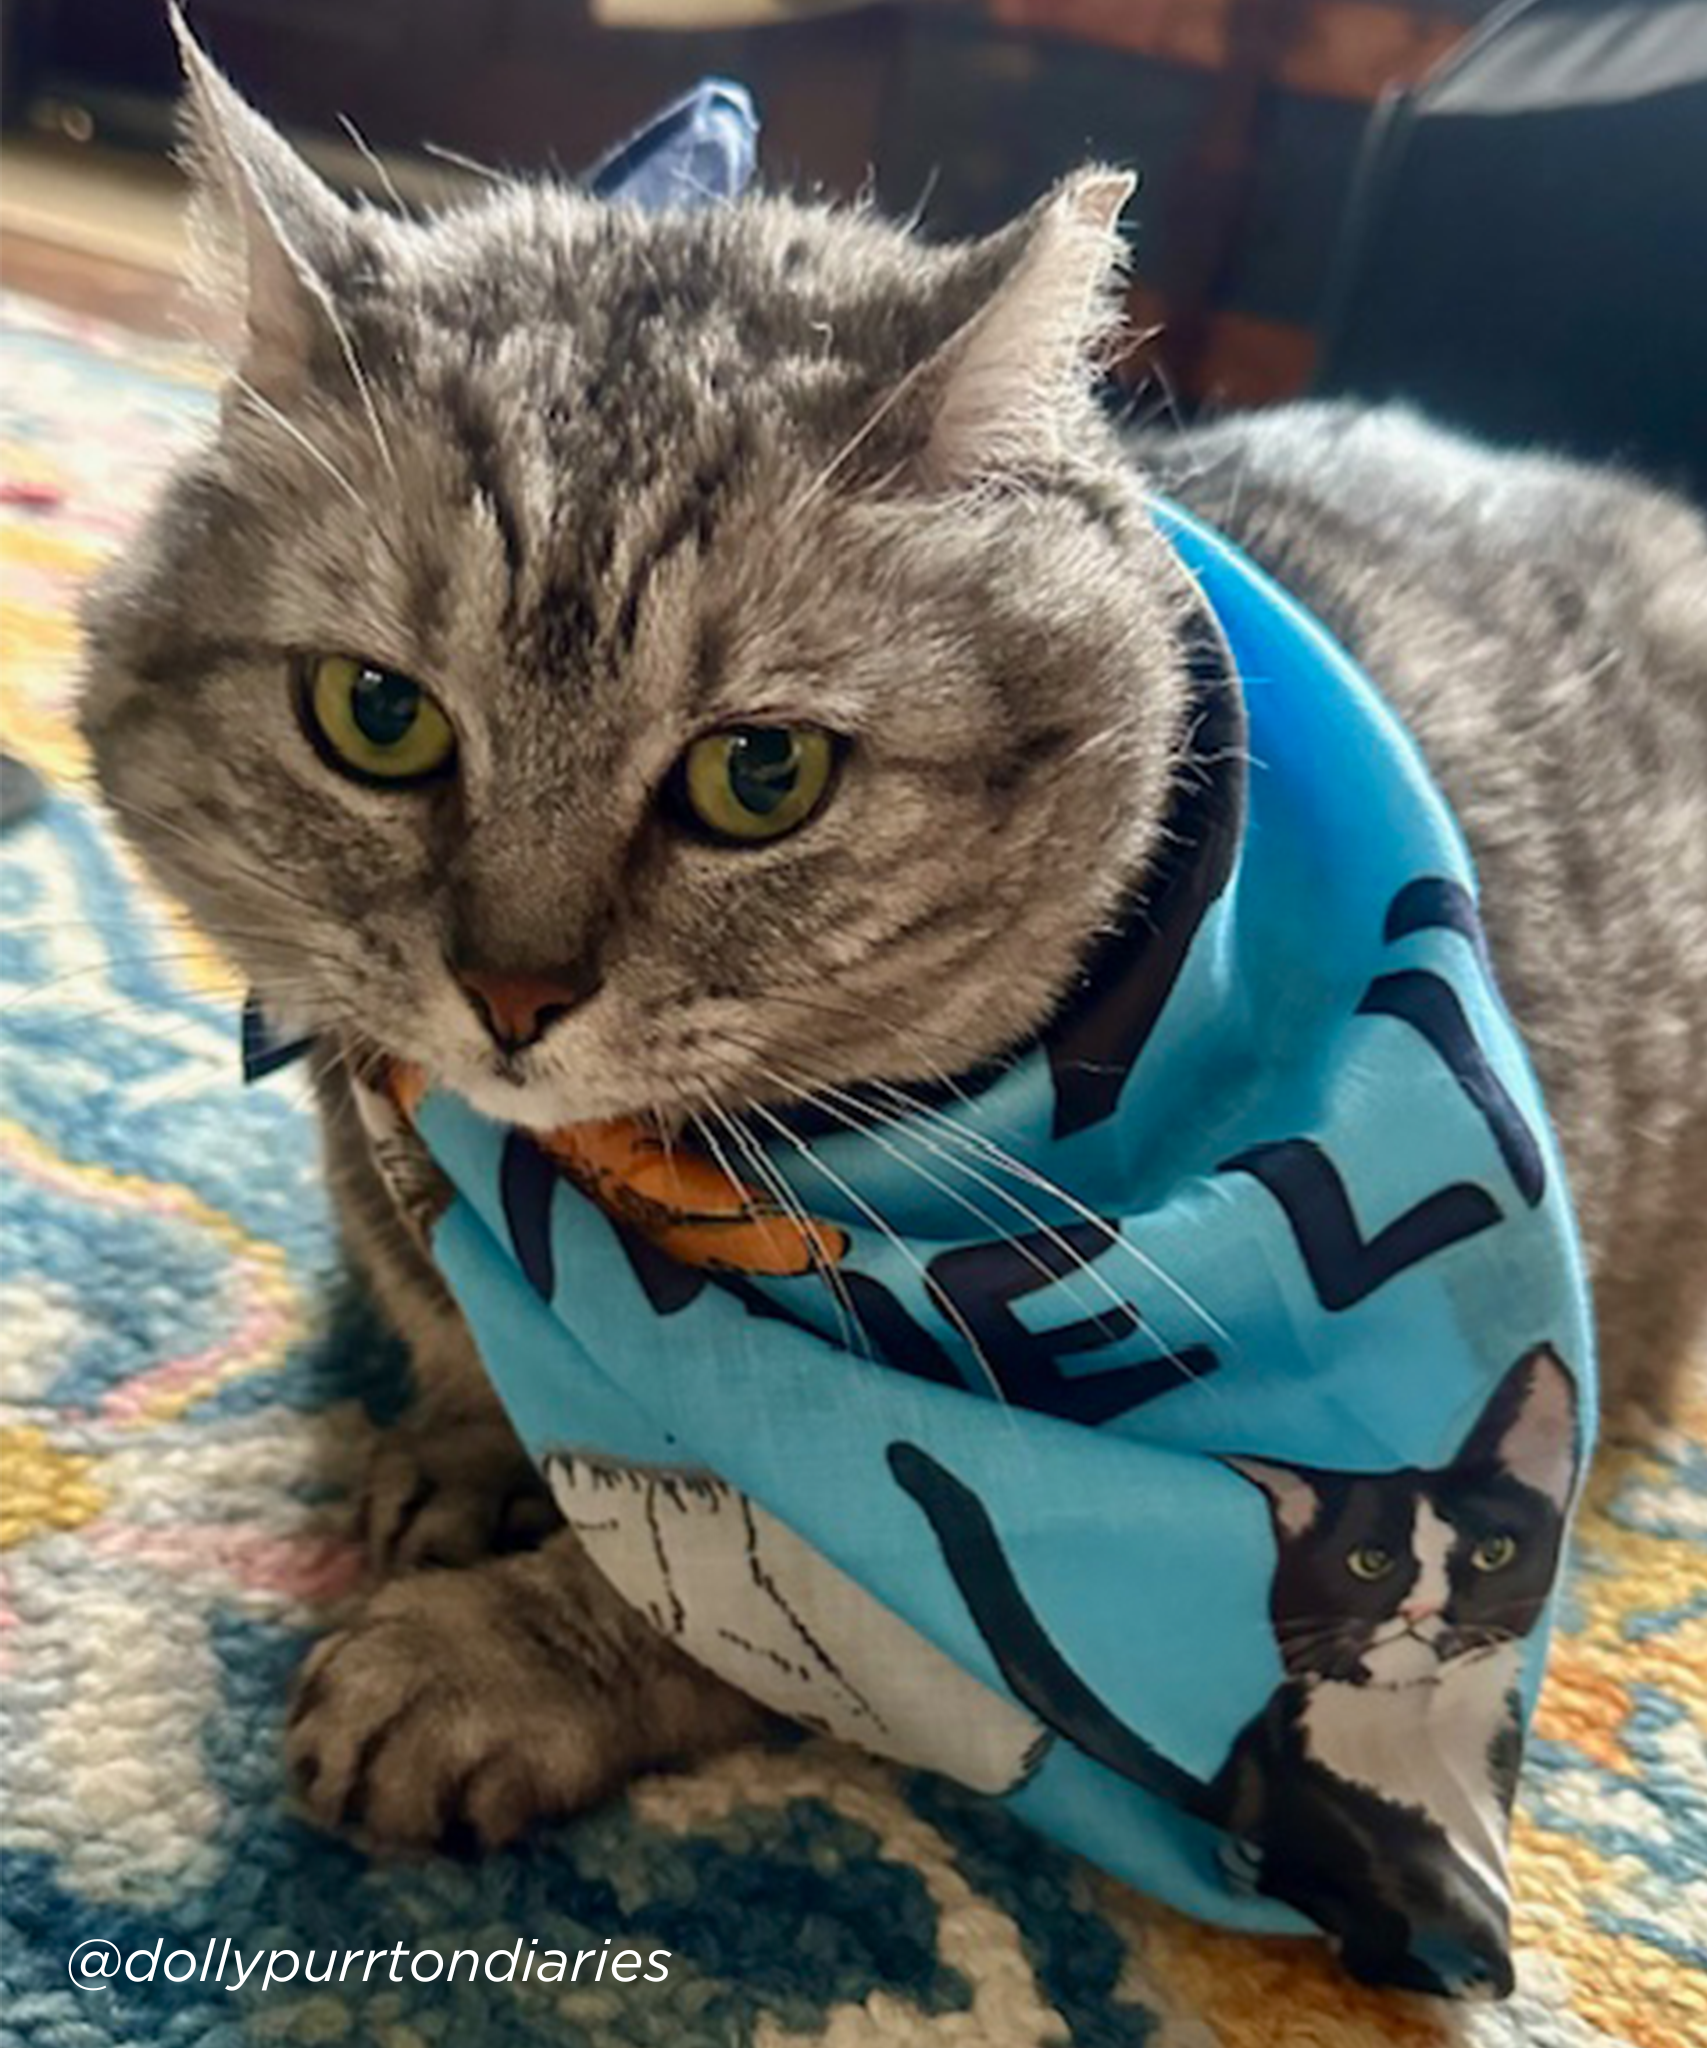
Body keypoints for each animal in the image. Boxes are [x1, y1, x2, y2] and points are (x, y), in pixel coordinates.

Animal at [82, 24, 1704, 1859]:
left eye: (759, 775)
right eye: (375, 715)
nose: (510, 993)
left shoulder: (989, 1605)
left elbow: (724, 1593)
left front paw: (480, 1652)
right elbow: (468, 1345)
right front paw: (466, 1437)